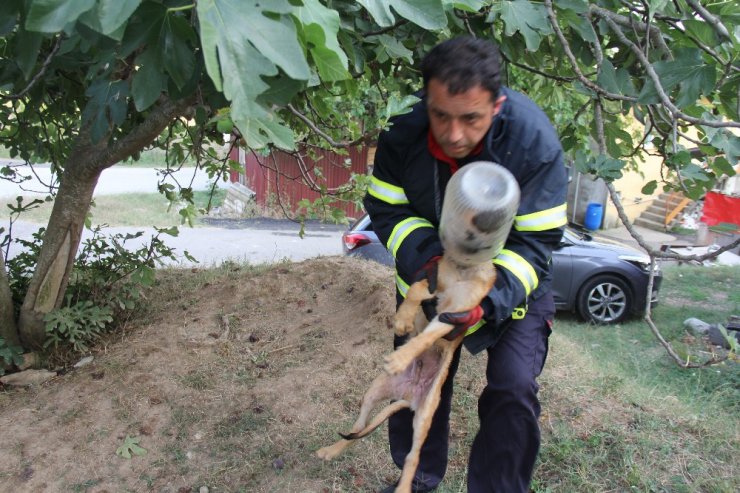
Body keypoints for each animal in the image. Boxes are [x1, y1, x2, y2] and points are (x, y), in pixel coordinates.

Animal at [316, 254, 494, 492]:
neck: (462, 268)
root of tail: (410, 396)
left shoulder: (454, 314)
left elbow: (425, 338)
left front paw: (401, 357)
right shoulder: (430, 279)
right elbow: (416, 289)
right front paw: (403, 319)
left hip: (424, 416)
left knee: (413, 458)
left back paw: (403, 487)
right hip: (374, 390)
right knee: (359, 428)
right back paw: (332, 450)